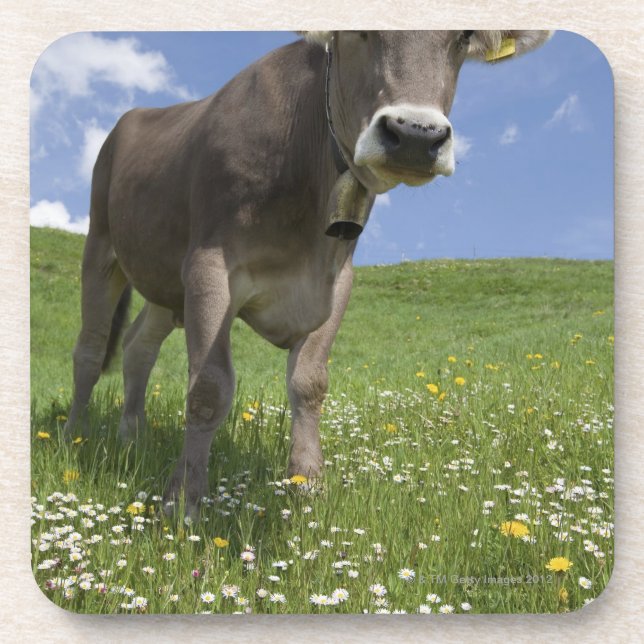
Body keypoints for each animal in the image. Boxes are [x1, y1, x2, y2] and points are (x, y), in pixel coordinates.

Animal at [65, 31, 552, 519]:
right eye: (359, 33)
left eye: (464, 37)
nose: (416, 135)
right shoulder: (208, 265)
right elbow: (208, 387)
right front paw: (183, 502)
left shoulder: (336, 280)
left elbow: (309, 382)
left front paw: (306, 486)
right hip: (101, 244)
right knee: (90, 348)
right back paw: (75, 434)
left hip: (163, 283)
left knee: (137, 347)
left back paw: (132, 436)